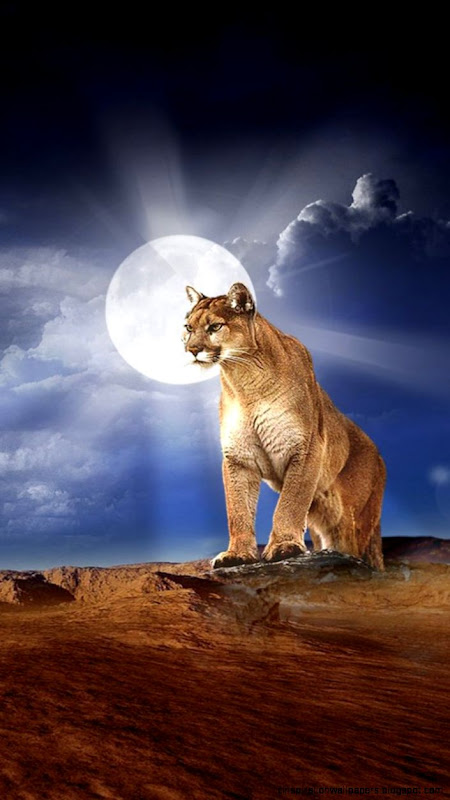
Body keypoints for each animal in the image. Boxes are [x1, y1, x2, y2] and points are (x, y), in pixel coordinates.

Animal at [183, 282, 386, 571]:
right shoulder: (238, 458)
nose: (191, 350)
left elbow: (289, 504)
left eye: (215, 326)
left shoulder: (306, 448)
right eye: (188, 328)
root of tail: (379, 455)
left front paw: (284, 547)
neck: (245, 381)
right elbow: (238, 510)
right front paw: (237, 554)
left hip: (353, 519)